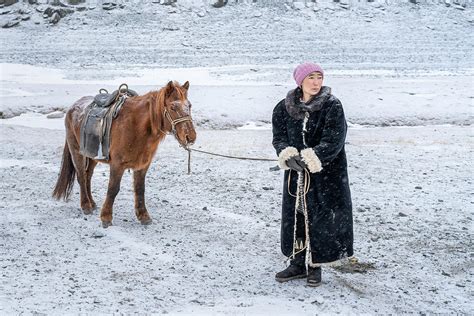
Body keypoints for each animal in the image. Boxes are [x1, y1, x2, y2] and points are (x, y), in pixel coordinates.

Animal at [53, 79, 196, 227]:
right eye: (173, 107)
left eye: (189, 106)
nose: (190, 137)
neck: (136, 127)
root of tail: (72, 107)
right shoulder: (117, 165)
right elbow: (113, 189)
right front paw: (106, 218)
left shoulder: (142, 166)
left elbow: (140, 189)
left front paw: (143, 216)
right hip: (77, 152)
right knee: (81, 176)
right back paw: (86, 206)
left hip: (91, 156)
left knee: (88, 176)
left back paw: (91, 203)